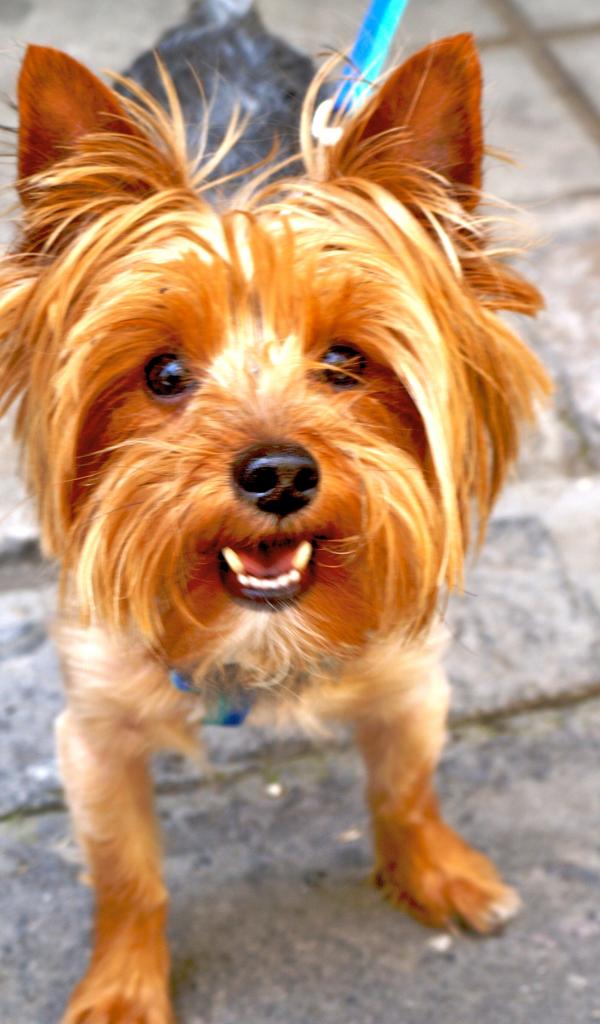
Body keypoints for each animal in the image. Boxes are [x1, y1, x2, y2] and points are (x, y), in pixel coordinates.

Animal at [1, 1, 551, 1020]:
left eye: (345, 362)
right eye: (162, 374)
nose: (280, 474)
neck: (261, 630)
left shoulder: (409, 674)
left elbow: (407, 787)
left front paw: (440, 875)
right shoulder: (93, 726)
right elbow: (126, 872)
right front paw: (124, 988)